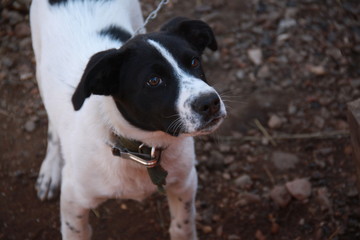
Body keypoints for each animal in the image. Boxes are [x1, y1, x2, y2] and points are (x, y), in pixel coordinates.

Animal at [30, 0, 225, 239]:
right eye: (153, 80)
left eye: (195, 61)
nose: (210, 103)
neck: (142, 149)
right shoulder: (73, 200)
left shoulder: (185, 183)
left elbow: (183, 226)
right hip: (40, 67)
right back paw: (50, 169)